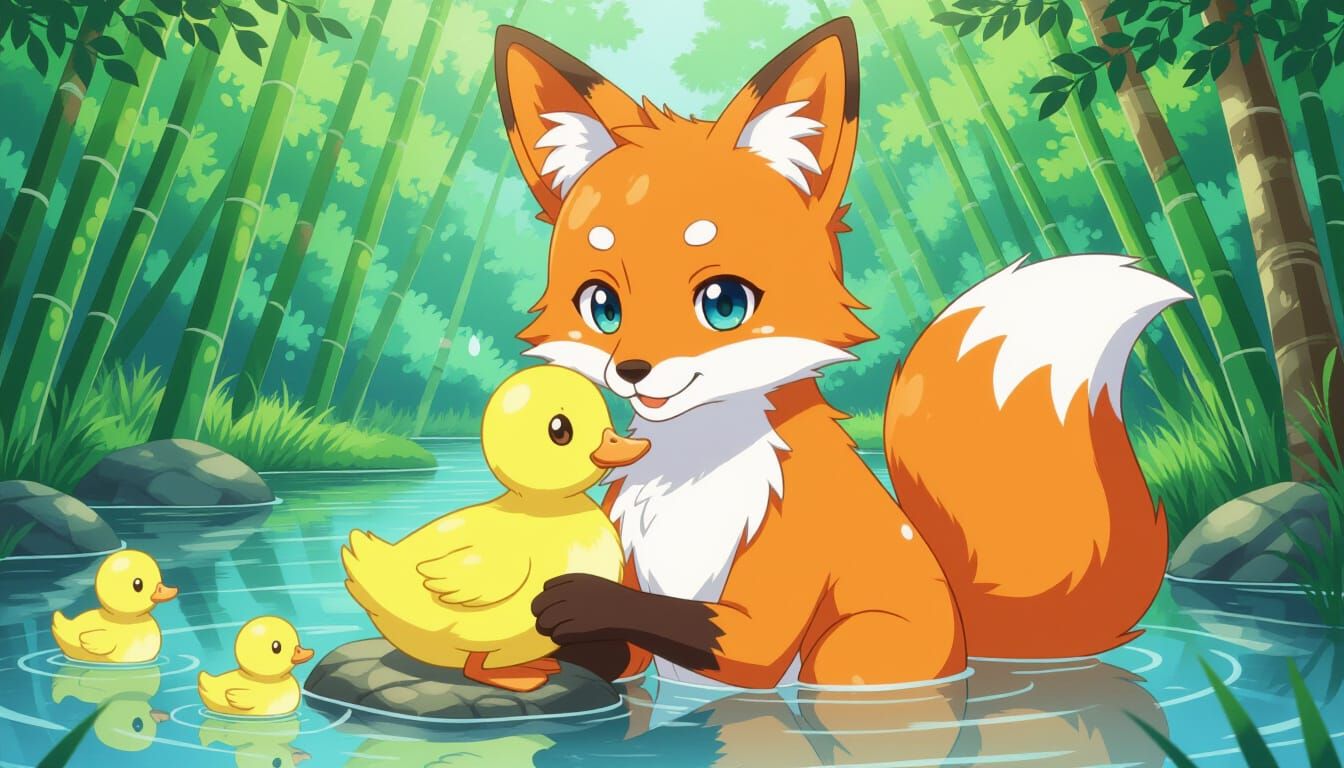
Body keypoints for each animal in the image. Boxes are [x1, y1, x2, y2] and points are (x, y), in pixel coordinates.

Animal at [493, 18, 1179, 688]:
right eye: (602, 305)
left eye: (724, 303)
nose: (633, 372)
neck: (694, 468)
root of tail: (969, 636)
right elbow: (621, 654)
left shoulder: (765, 604)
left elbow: (697, 628)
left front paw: (575, 599)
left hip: (847, 653)